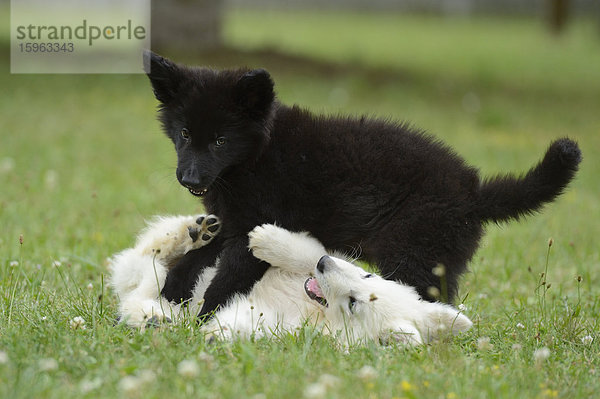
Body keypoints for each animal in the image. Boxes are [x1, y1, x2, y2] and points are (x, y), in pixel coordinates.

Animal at [109, 216, 474, 346]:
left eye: (353, 304)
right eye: (368, 273)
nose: (325, 267)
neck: (312, 310)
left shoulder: (282, 324)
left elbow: (247, 322)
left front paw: (218, 334)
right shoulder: (312, 263)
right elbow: (306, 252)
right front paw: (269, 240)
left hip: (147, 287)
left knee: (142, 288)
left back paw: (155, 317)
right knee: (150, 256)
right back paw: (193, 232)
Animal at [143, 51, 580, 318]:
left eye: (220, 140)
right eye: (184, 134)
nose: (190, 179)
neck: (257, 156)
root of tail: (474, 193)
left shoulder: (251, 234)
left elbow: (224, 282)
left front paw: (201, 323)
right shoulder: (231, 223)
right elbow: (193, 258)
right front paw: (170, 298)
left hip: (414, 257)